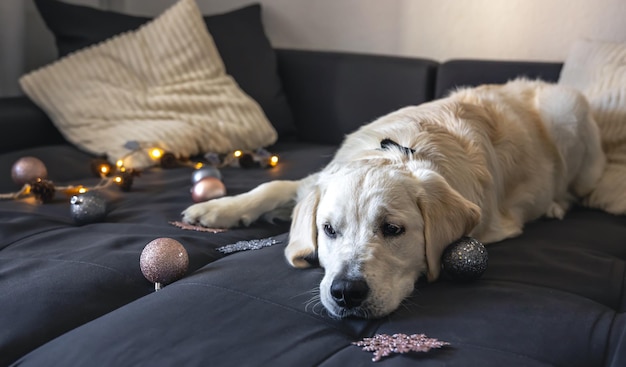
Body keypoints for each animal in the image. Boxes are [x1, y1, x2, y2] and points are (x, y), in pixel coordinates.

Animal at [180, 80, 604, 320]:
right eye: (328, 229)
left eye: (393, 229)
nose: (345, 292)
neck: (399, 151)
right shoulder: (314, 180)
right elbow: (273, 187)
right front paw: (216, 209)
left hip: (566, 115)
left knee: (579, 189)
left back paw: (557, 204)